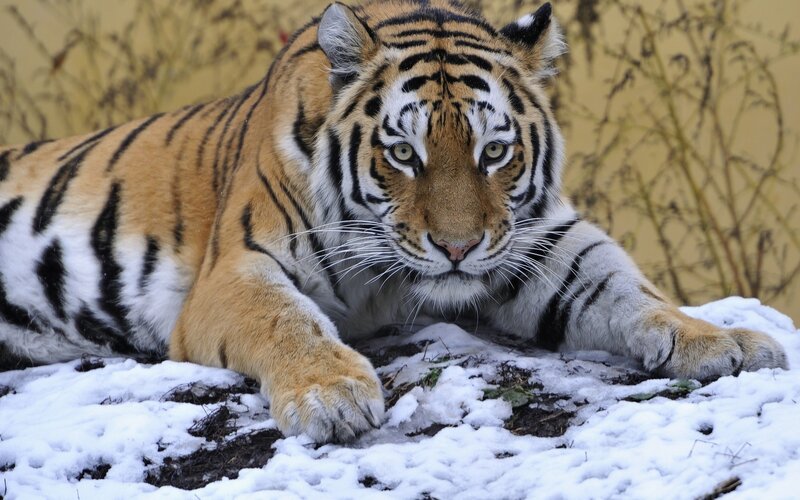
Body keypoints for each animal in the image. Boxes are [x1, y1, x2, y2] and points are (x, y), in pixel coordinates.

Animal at [0, 0, 788, 443]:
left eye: (494, 151)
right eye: (403, 154)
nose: (457, 247)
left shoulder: (542, 242)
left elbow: (628, 289)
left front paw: (721, 339)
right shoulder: (237, 268)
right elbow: (284, 320)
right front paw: (331, 396)